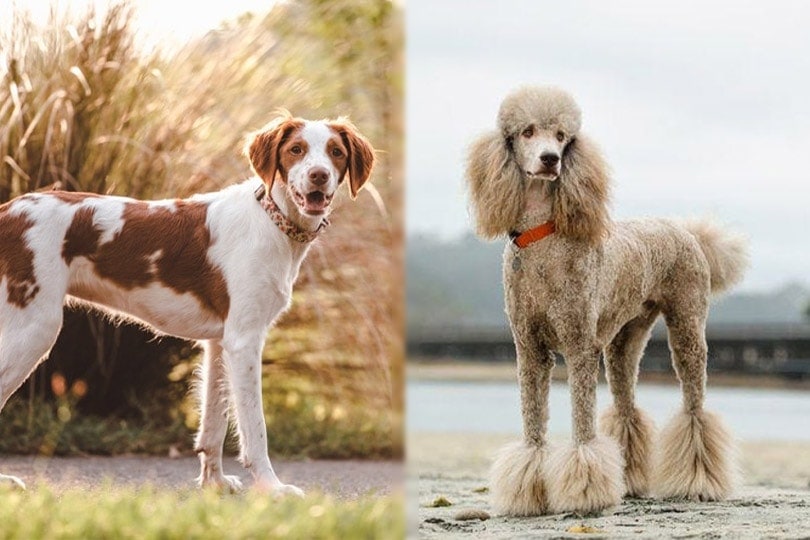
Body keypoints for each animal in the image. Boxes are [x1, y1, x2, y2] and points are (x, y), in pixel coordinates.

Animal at [0, 112, 374, 496]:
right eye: (296, 150)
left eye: (335, 152)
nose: (319, 175)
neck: (272, 222)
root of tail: (8, 212)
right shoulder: (244, 340)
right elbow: (255, 428)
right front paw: (272, 487)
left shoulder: (220, 342)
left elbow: (214, 425)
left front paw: (215, 483)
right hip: (34, 328)